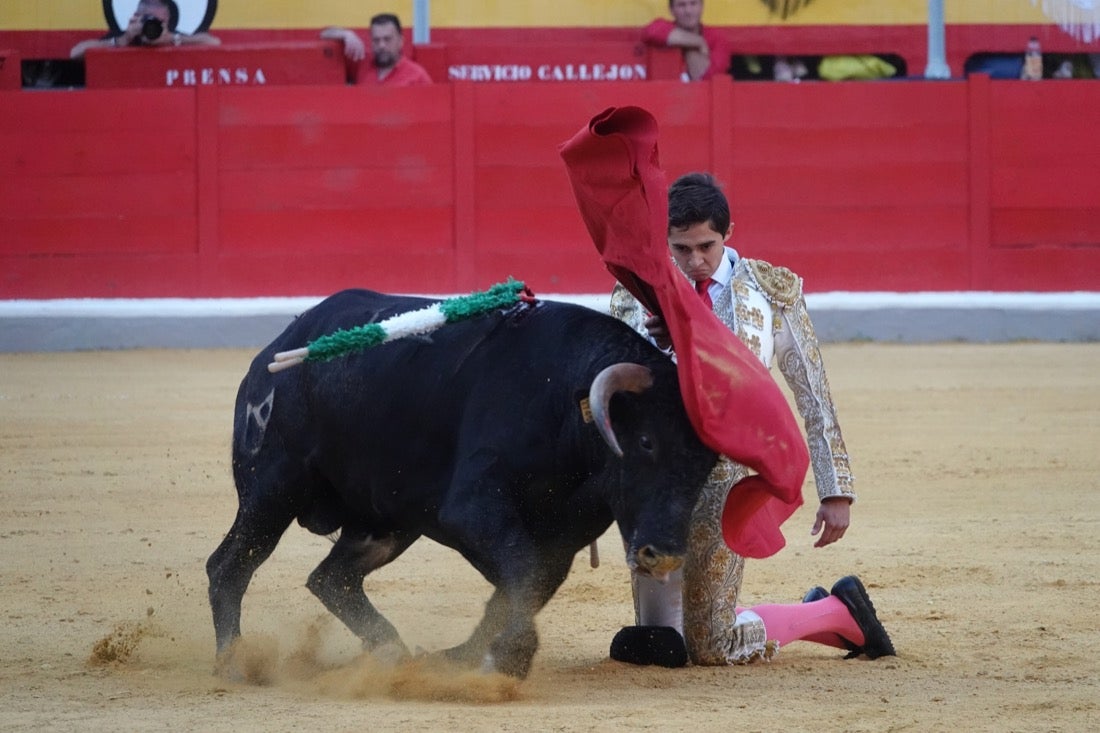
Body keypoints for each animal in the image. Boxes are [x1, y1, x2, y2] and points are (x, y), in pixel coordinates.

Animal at [206, 288, 721, 677]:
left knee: (332, 578)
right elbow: (520, 572)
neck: (565, 406)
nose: (663, 554)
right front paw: (507, 660)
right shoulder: (473, 508)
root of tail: (271, 353)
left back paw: (393, 652)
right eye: (647, 442)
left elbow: (525, 584)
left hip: (385, 520)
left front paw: (467, 657)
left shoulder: (563, 538)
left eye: (709, 463)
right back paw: (234, 663)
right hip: (273, 489)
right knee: (230, 565)